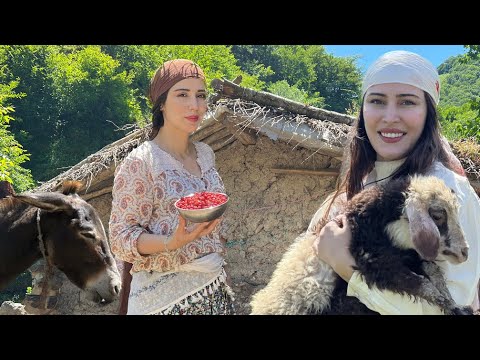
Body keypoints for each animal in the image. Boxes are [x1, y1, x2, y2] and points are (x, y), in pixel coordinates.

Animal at [249, 175, 474, 316]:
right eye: (438, 216)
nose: (464, 253)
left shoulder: (408, 255)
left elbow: (434, 273)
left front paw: (456, 307)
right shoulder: (374, 261)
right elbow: (421, 283)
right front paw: (447, 303)